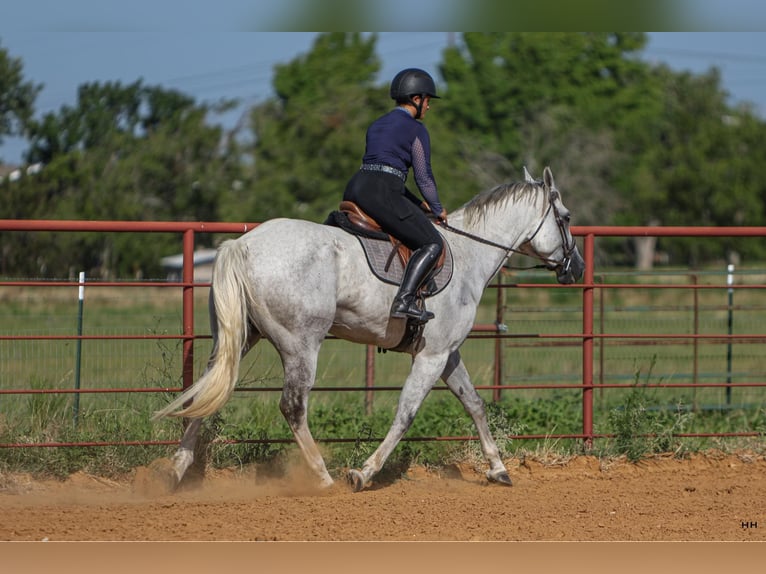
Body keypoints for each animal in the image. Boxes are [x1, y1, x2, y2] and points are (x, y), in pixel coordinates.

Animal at [151, 166, 584, 492]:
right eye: (565, 218)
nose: (577, 268)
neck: (468, 253)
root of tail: (242, 246)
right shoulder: (432, 357)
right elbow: (406, 414)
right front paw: (364, 472)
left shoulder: (447, 354)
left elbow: (474, 404)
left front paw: (498, 468)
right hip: (301, 346)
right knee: (293, 407)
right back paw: (323, 477)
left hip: (237, 340)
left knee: (203, 394)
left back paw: (175, 470)